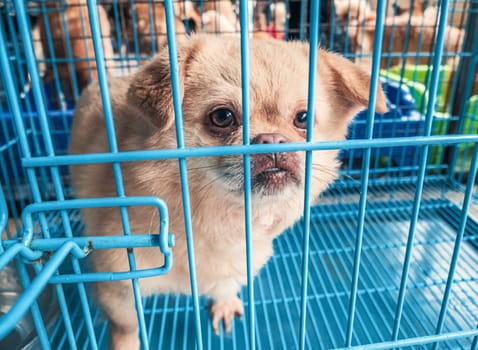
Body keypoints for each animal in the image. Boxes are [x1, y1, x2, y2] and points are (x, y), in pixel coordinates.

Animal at [68, 33, 388, 350]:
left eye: (303, 118)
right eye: (222, 117)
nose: (273, 140)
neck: (223, 221)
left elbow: (226, 285)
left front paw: (224, 303)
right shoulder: (117, 287)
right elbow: (126, 327)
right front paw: (126, 344)